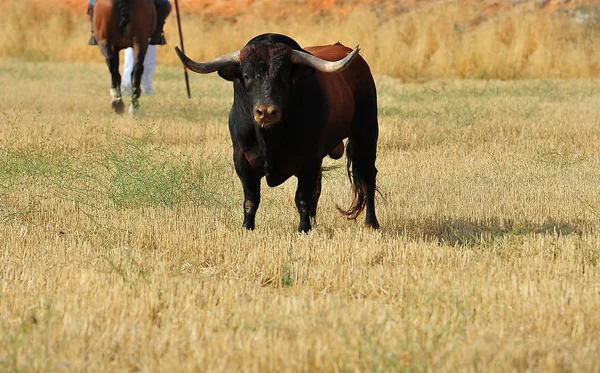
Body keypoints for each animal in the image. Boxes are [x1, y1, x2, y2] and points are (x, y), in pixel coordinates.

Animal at [175, 33, 380, 231]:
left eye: (283, 76)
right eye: (247, 76)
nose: (266, 112)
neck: (269, 139)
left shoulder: (309, 160)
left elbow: (302, 198)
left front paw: (303, 229)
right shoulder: (241, 159)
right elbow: (251, 200)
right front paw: (246, 227)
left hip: (366, 133)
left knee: (367, 176)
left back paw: (371, 223)